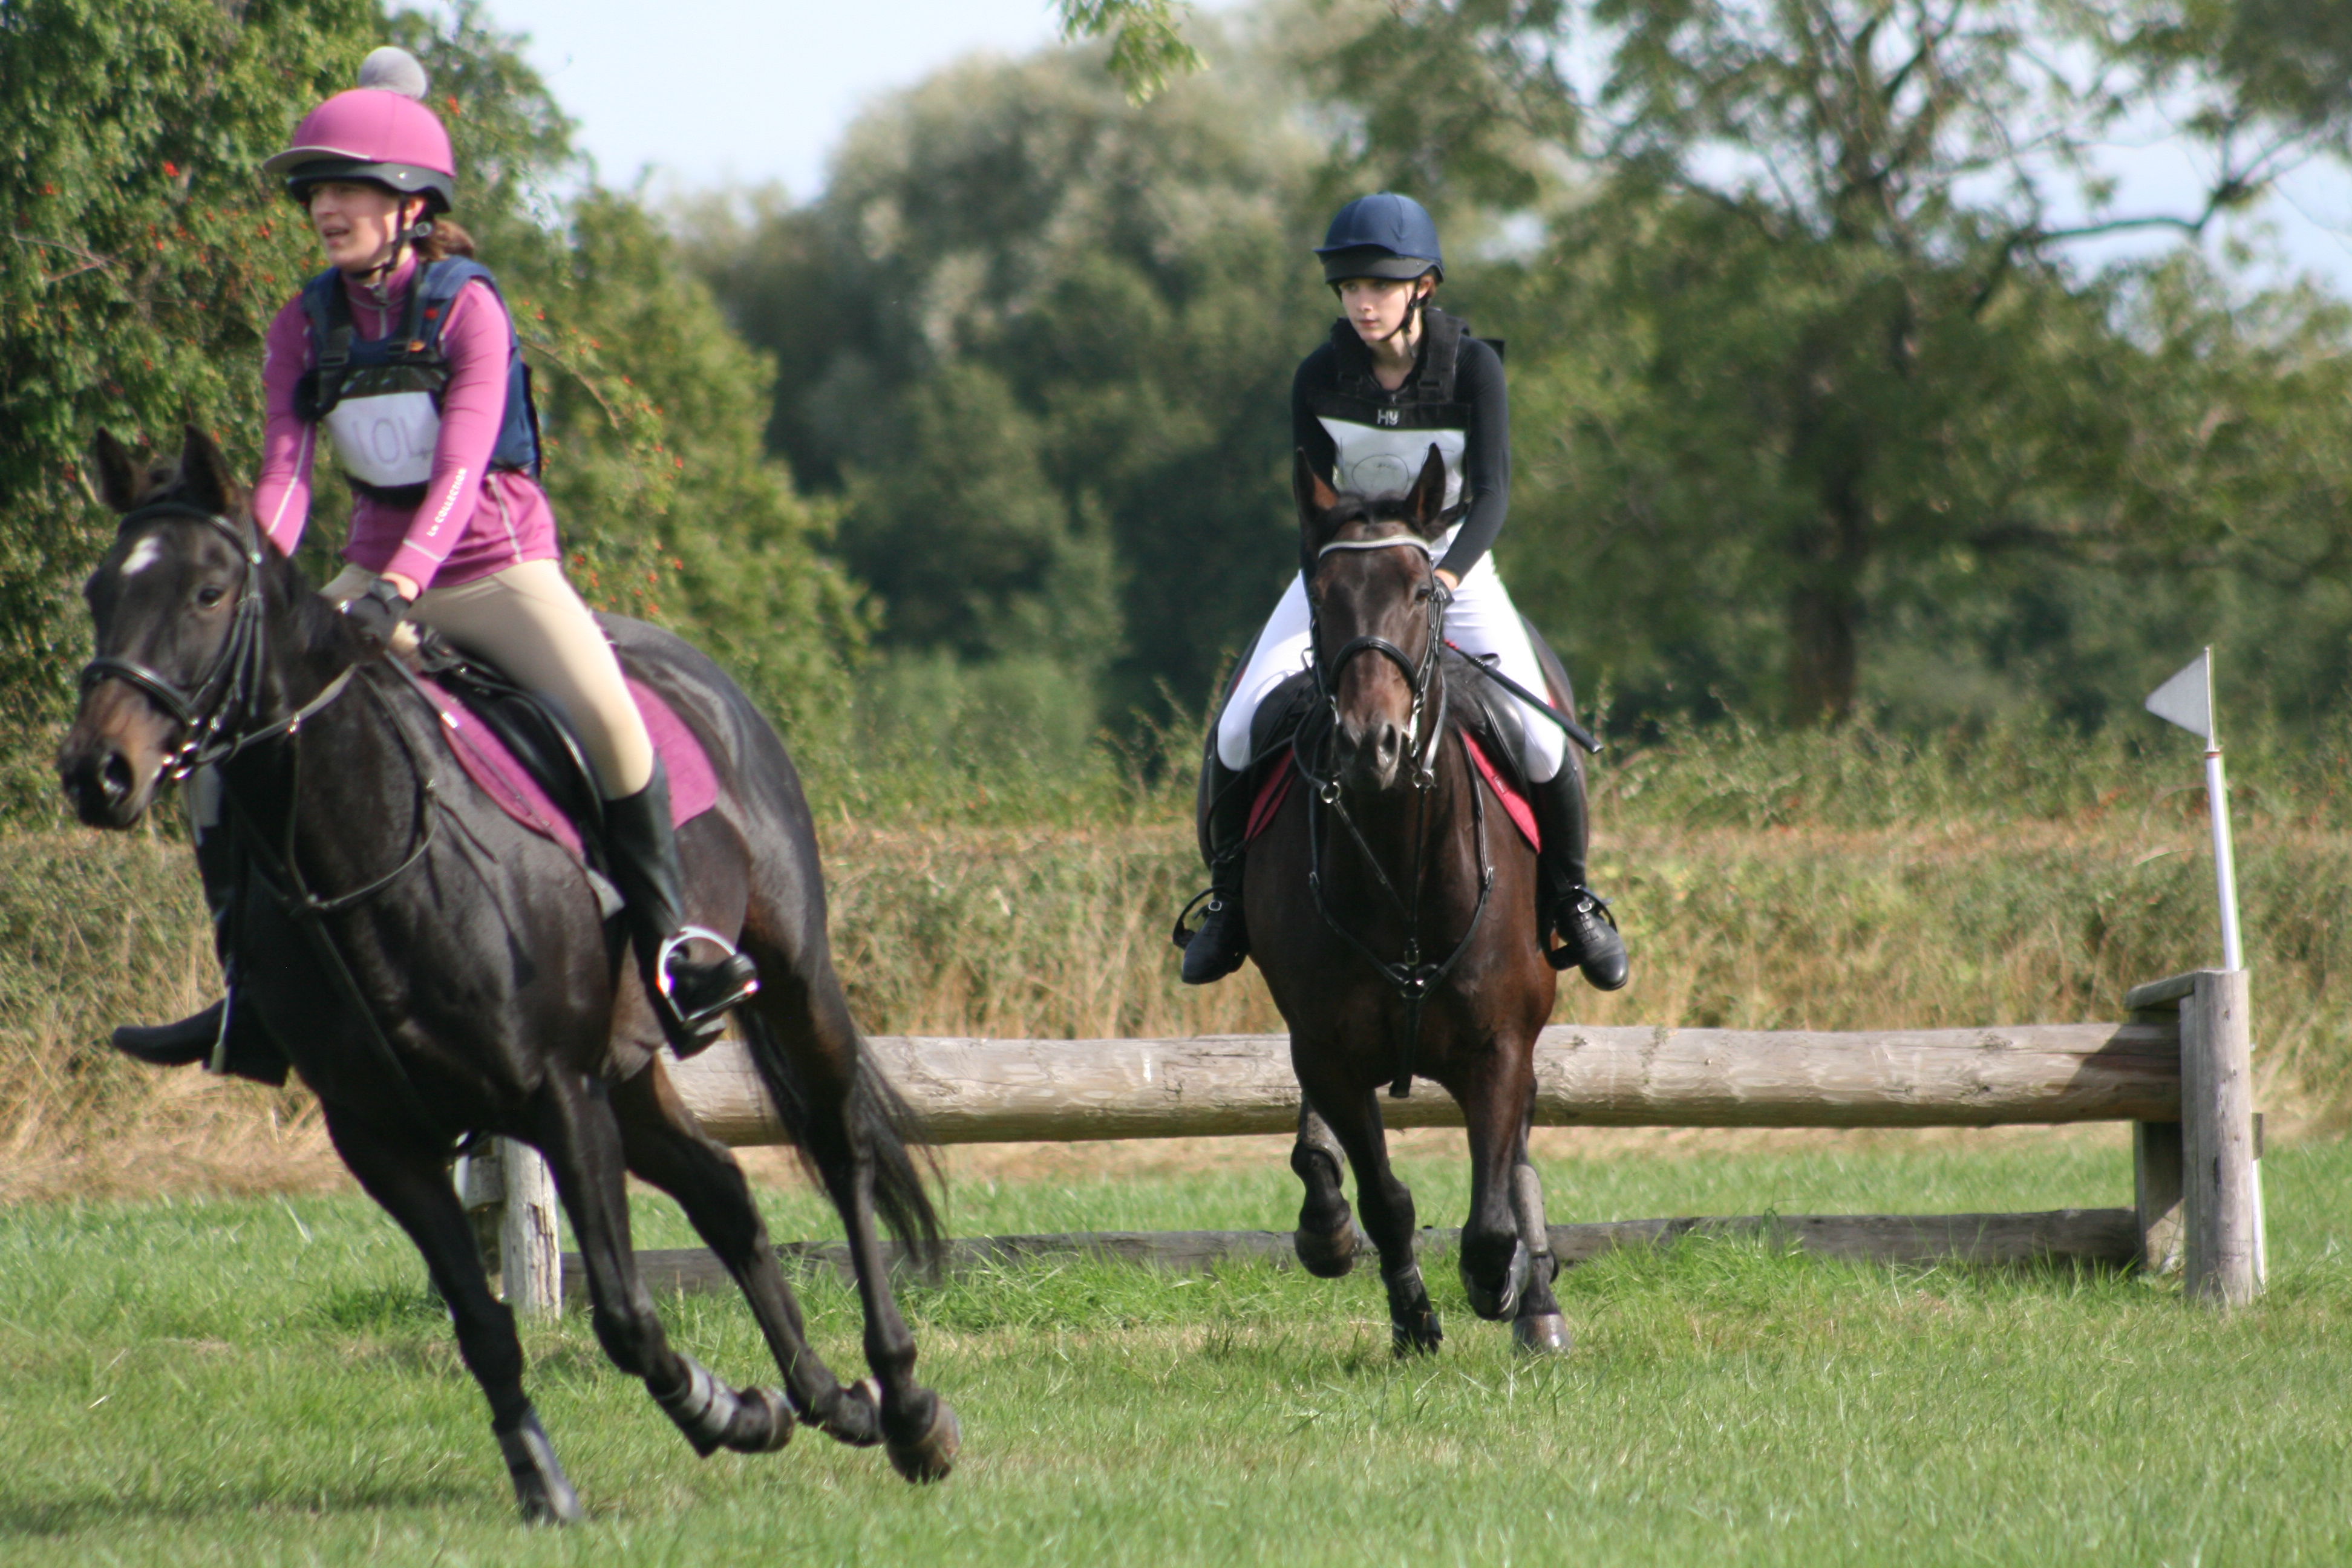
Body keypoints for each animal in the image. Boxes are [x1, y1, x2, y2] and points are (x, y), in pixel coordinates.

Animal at [56, 427, 959, 1522]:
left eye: (209, 592)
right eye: (101, 590)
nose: (96, 772)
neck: (363, 855)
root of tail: (703, 677)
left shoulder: (558, 1095)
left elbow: (620, 1312)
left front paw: (721, 1409)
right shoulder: (383, 1138)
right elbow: (482, 1324)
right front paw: (547, 1477)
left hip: (789, 978)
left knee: (839, 1150)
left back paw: (905, 1406)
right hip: (630, 1068)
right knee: (725, 1190)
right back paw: (832, 1399)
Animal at [1247, 445, 1571, 1356]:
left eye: (1423, 593)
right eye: (1322, 597)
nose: (1372, 746)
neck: (1400, 858)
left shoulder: (1501, 1046)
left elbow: (1491, 1212)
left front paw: (1504, 1283)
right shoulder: (1326, 1050)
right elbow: (1387, 1201)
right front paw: (1413, 1315)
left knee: (1515, 1159)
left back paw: (1536, 1301)